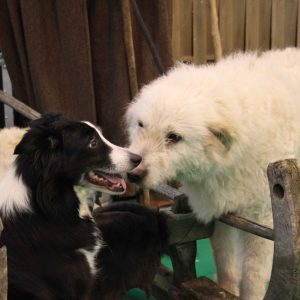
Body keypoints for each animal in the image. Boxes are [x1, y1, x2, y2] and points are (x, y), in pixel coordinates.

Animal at [125, 48, 300, 298]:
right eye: (141, 125)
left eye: (174, 137)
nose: (133, 173)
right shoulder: (222, 211)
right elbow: (225, 261)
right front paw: (225, 289)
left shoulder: (262, 220)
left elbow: (253, 277)